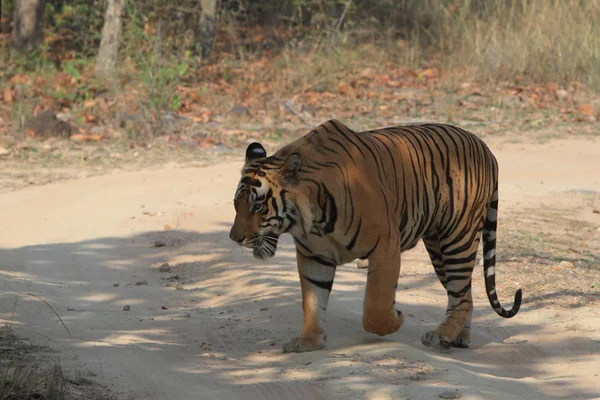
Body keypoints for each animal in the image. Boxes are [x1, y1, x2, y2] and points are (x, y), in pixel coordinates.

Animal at [230, 119, 520, 354]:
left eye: (257, 206)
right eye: (236, 204)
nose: (235, 238)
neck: (310, 221)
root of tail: (486, 149)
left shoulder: (385, 248)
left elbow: (375, 305)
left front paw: (397, 319)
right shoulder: (314, 255)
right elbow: (312, 300)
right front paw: (309, 340)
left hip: (457, 239)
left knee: (460, 293)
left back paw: (442, 336)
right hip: (439, 248)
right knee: (464, 295)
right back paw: (458, 337)